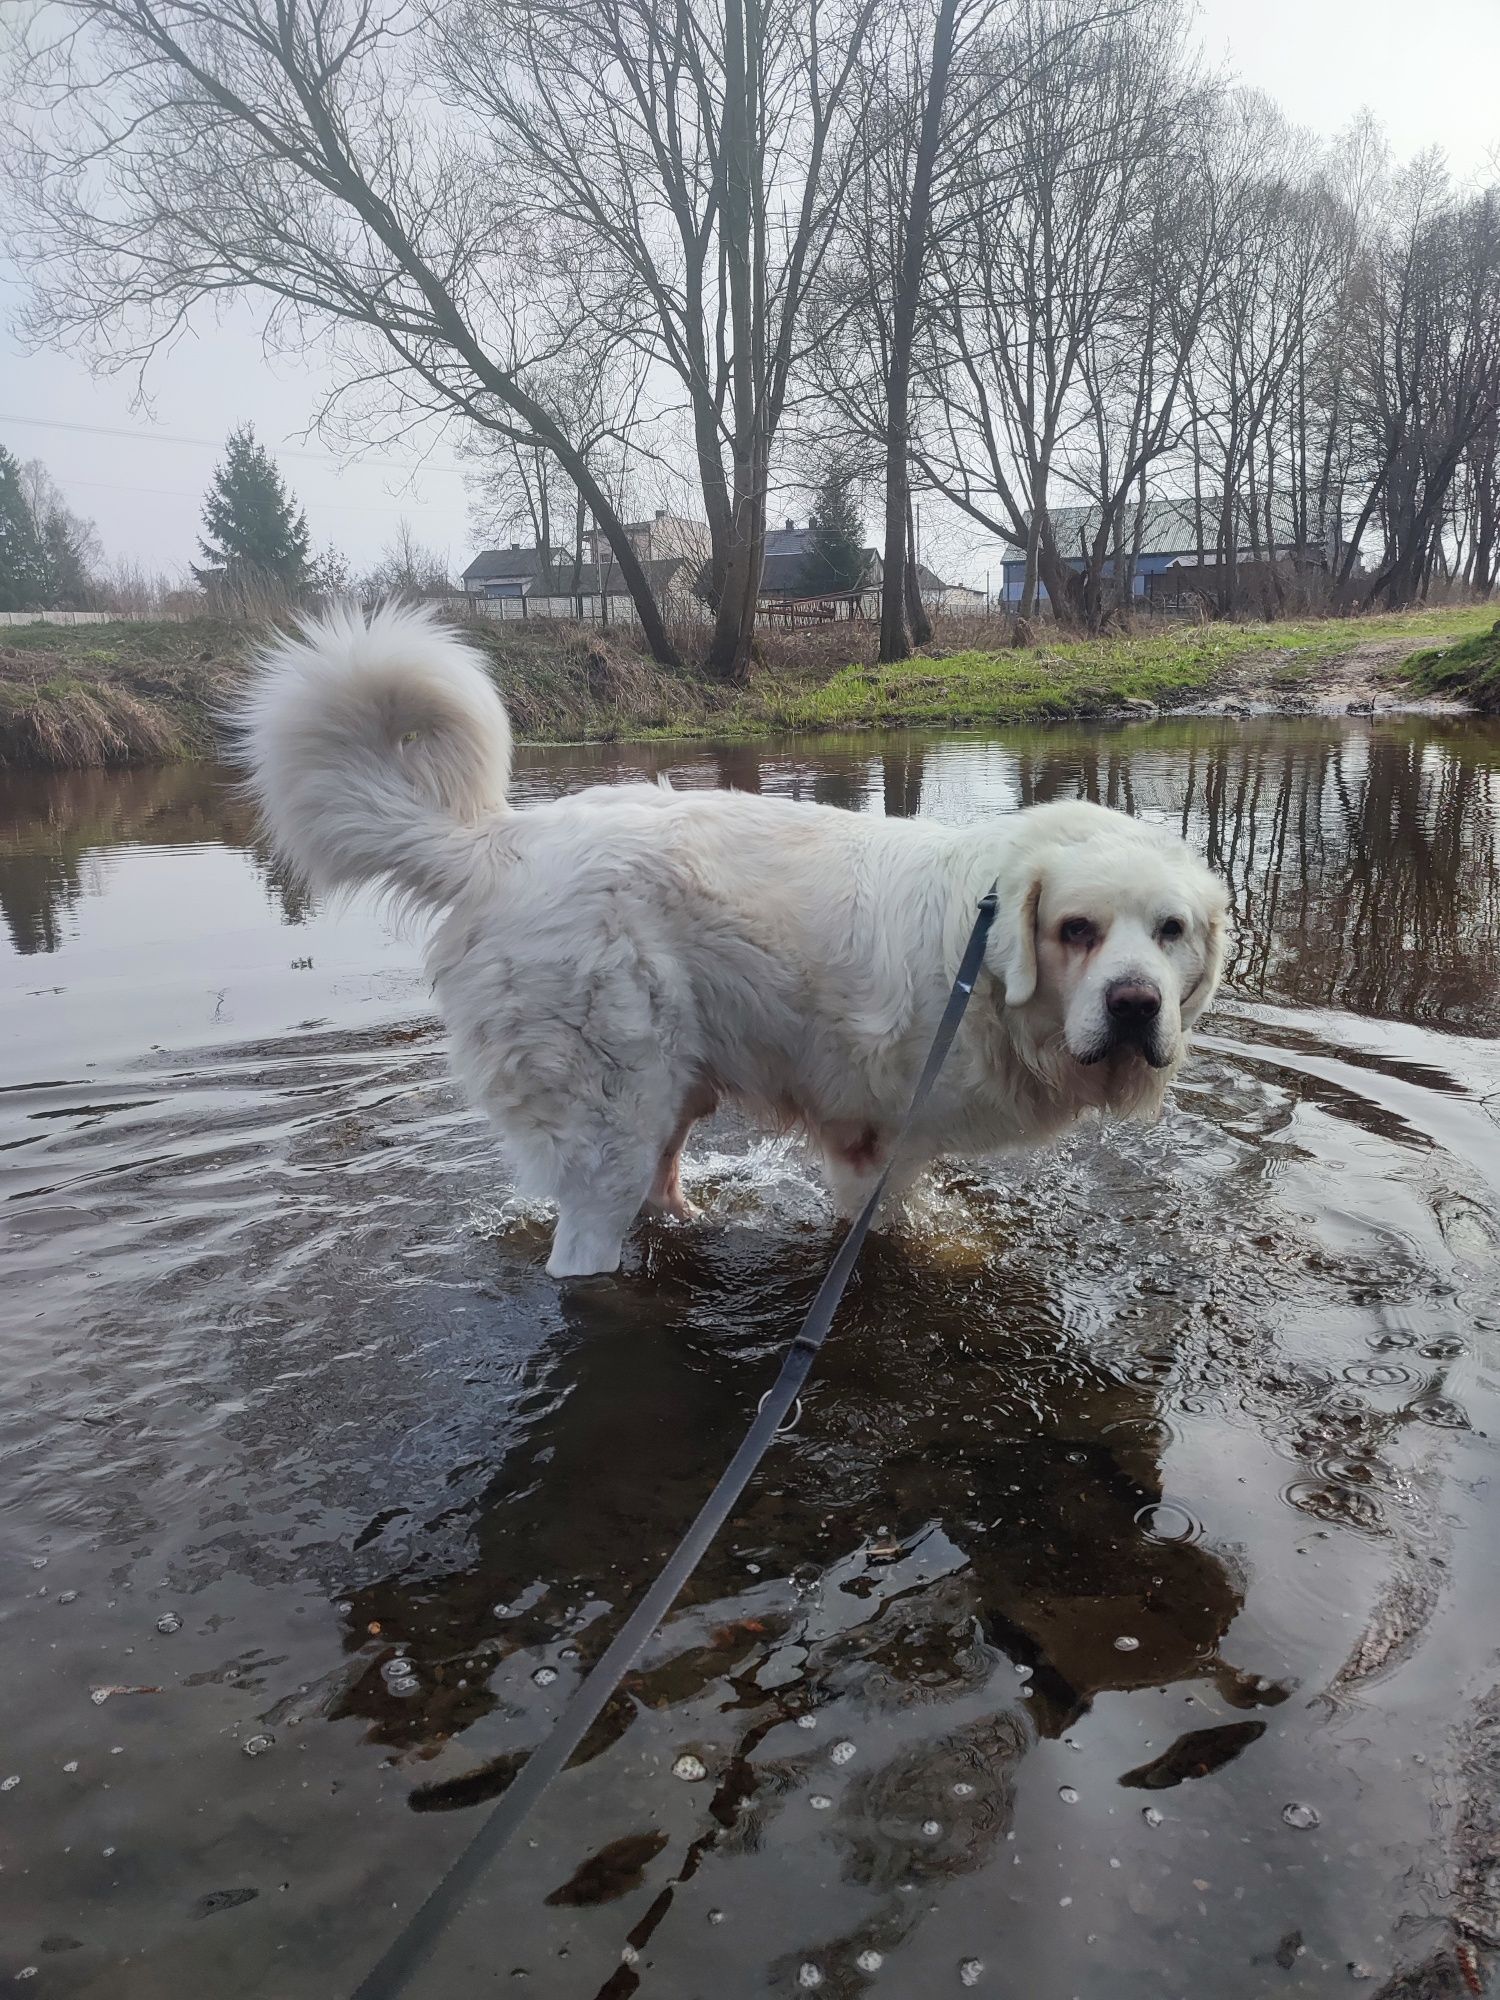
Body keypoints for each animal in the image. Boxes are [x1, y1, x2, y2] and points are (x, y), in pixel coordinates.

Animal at [238, 600, 1232, 1272]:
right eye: (1077, 930)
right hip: (607, 1122)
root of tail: (504, 845)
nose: (1136, 1005)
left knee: (660, 1190)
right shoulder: (872, 1149)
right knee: (585, 1242)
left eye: (1171, 931)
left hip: (668, 1096)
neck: (983, 971)